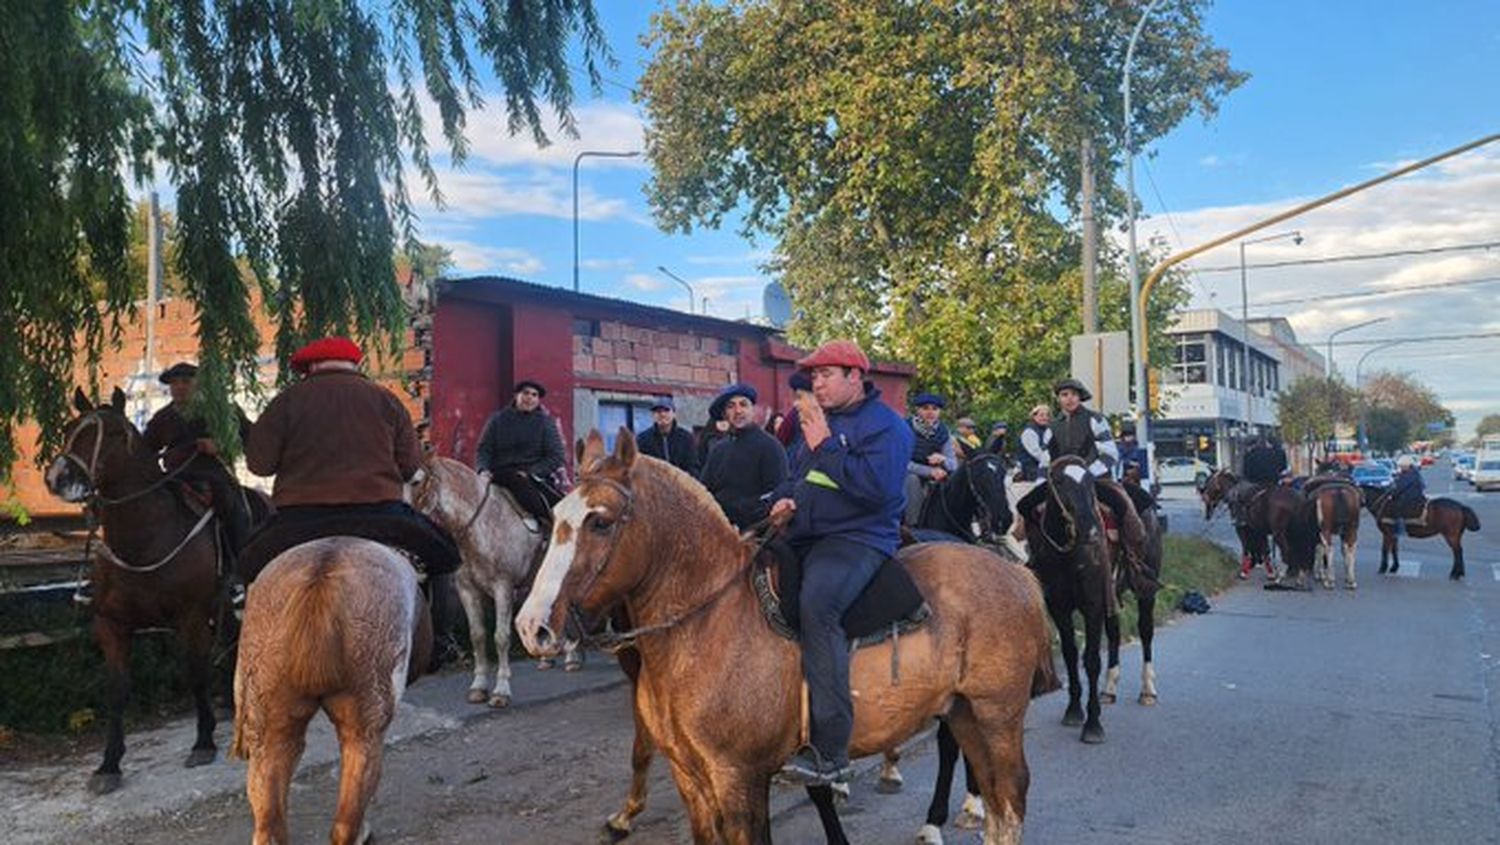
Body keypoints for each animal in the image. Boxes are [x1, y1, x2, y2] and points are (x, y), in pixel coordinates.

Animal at [42, 387, 228, 792]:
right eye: (68, 428)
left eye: (112, 434)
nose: (57, 477)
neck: (146, 538)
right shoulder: (111, 624)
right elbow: (117, 689)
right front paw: (109, 763)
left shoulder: (191, 617)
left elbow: (196, 674)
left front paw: (204, 741)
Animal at [414, 456, 582, 708]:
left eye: (415, 481)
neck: (482, 524)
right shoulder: (467, 590)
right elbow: (478, 636)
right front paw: (478, 687)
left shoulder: (503, 588)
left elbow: (501, 637)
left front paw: (501, 691)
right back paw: (548, 656)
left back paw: (571, 657)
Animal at [516, 432, 1056, 845]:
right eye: (556, 517)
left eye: (600, 521)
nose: (531, 626)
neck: (708, 621)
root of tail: (1017, 573)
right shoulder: (692, 780)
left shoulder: (738, 779)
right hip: (964, 711)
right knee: (992, 798)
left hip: (997, 714)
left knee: (1009, 798)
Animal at [1032, 459, 1116, 744]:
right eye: (1059, 482)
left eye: (1090, 481)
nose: (1091, 531)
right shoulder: (1059, 608)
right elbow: (1070, 654)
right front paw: (1074, 710)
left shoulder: (1094, 606)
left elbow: (1091, 660)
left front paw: (1093, 724)